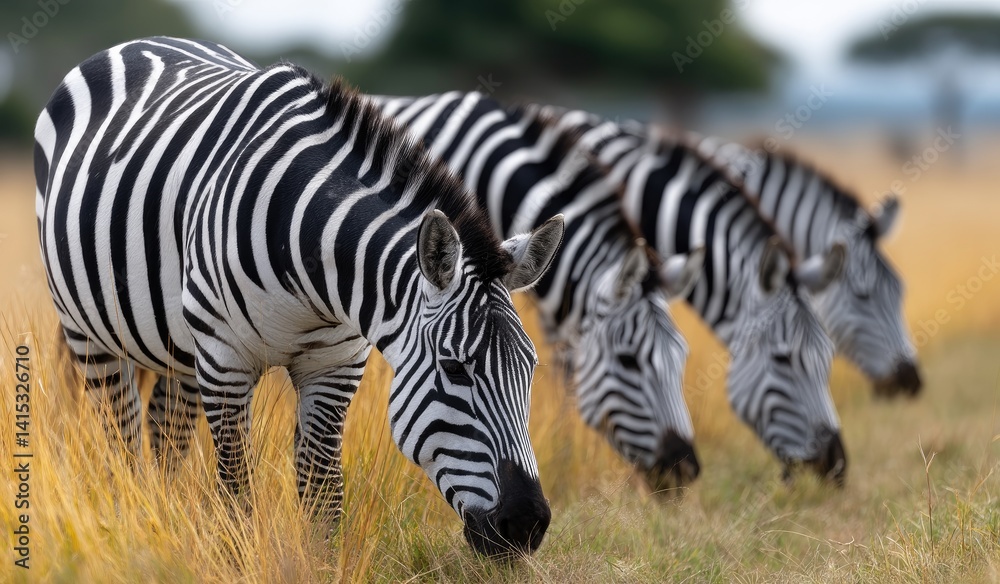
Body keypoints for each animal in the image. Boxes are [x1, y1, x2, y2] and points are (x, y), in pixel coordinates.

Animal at [33, 37, 564, 557]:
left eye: (531, 369)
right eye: (455, 368)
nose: (526, 525)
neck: (313, 277)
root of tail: (140, 42)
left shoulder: (335, 365)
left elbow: (322, 492)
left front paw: (320, 563)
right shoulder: (225, 361)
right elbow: (236, 487)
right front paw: (238, 559)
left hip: (180, 348)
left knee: (165, 433)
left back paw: (163, 516)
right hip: (88, 332)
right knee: (118, 438)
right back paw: (127, 519)